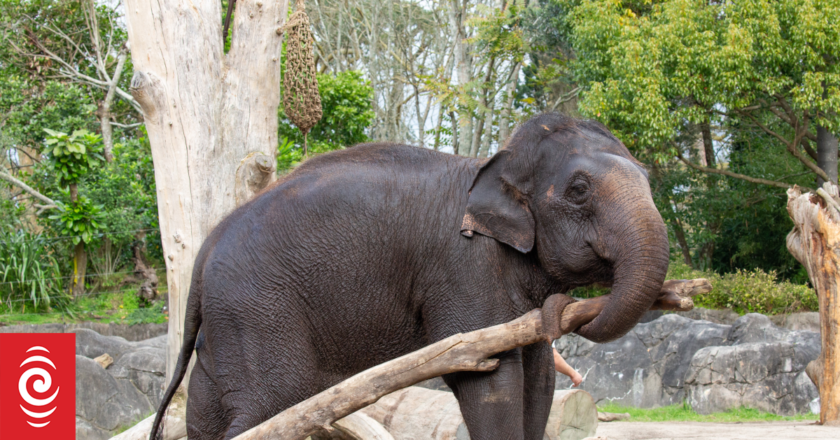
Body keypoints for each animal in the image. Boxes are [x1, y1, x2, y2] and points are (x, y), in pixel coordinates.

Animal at [150, 113, 670, 440]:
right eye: (579, 190)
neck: (494, 161)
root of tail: (203, 255)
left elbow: (538, 378)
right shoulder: (464, 268)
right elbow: (491, 380)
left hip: (228, 322)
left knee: (209, 410)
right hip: (259, 311)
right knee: (271, 406)